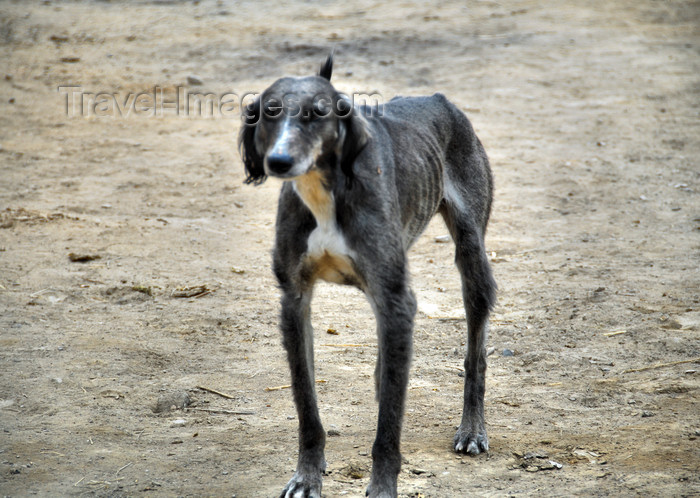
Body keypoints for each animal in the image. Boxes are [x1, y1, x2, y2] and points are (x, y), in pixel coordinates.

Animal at [241, 55, 498, 498]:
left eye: (318, 113)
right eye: (270, 111)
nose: (279, 162)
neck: (324, 191)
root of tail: (438, 100)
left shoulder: (395, 299)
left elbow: (388, 428)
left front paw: (381, 486)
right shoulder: (294, 301)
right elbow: (307, 405)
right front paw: (307, 477)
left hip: (472, 259)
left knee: (475, 353)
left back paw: (472, 429)